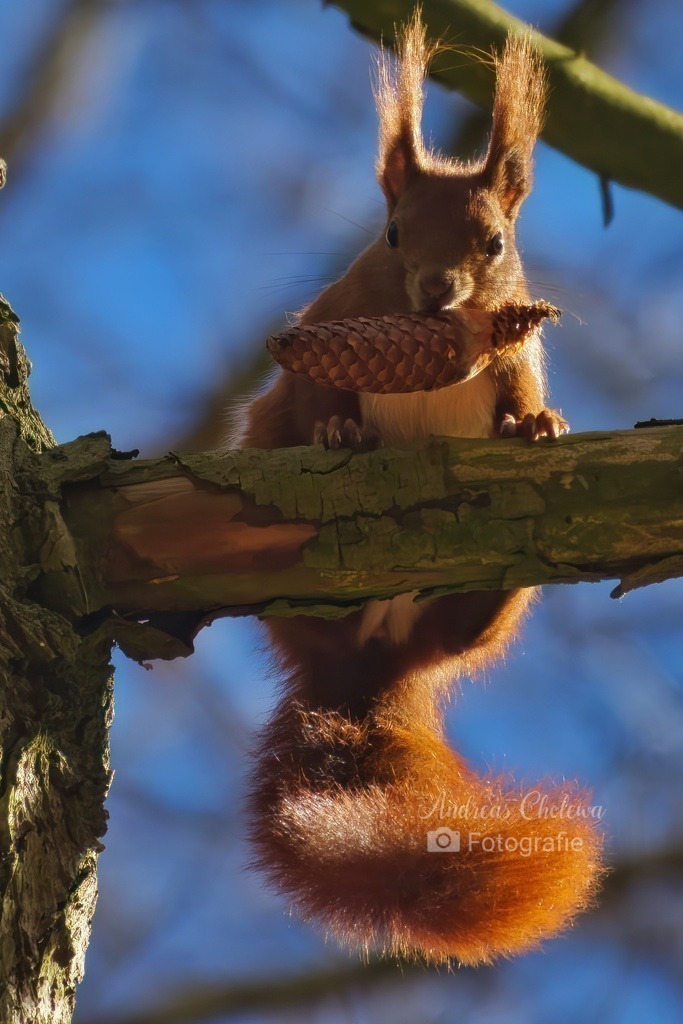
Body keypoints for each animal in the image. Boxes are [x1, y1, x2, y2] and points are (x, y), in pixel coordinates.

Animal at [238, 11, 602, 965]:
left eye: (496, 243)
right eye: (394, 233)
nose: (438, 291)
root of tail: (371, 666)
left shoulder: (518, 354)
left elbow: (521, 395)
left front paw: (538, 425)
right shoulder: (323, 328)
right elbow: (316, 398)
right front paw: (336, 432)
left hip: (470, 620)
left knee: (470, 630)